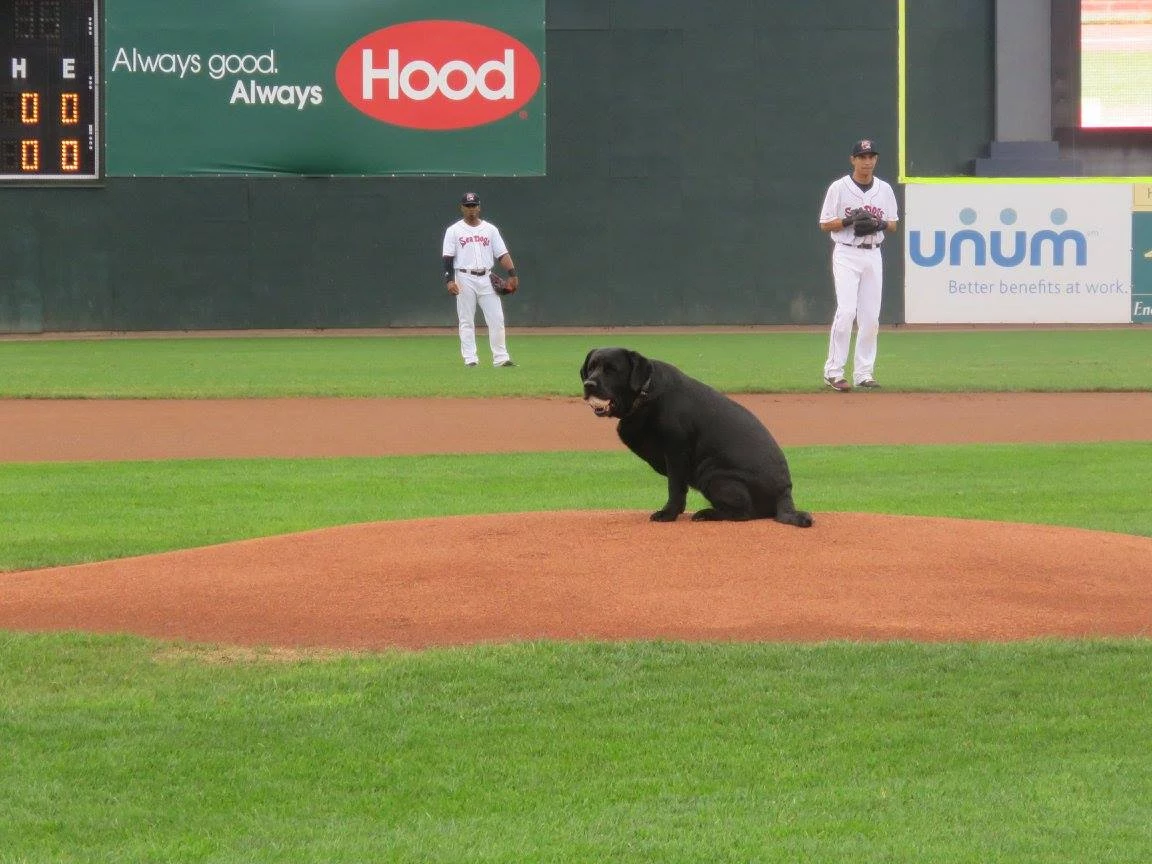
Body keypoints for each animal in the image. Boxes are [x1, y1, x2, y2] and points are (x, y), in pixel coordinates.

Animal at [580, 347, 815, 527]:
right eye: (591, 368)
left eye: (612, 370)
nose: (588, 384)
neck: (644, 394)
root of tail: (784, 493)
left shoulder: (676, 450)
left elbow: (675, 487)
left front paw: (668, 514)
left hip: (712, 473)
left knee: (744, 513)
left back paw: (707, 514)